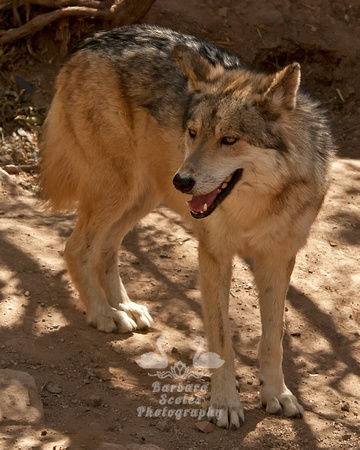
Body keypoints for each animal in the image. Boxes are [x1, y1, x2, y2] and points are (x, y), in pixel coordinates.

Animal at [38, 24, 334, 428]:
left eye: (229, 139)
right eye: (192, 132)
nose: (183, 181)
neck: (254, 208)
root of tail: (91, 41)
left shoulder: (278, 259)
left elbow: (274, 339)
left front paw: (277, 394)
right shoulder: (214, 256)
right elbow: (222, 340)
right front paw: (225, 404)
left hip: (141, 198)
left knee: (106, 249)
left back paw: (124, 306)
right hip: (119, 190)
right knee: (75, 247)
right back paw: (103, 314)